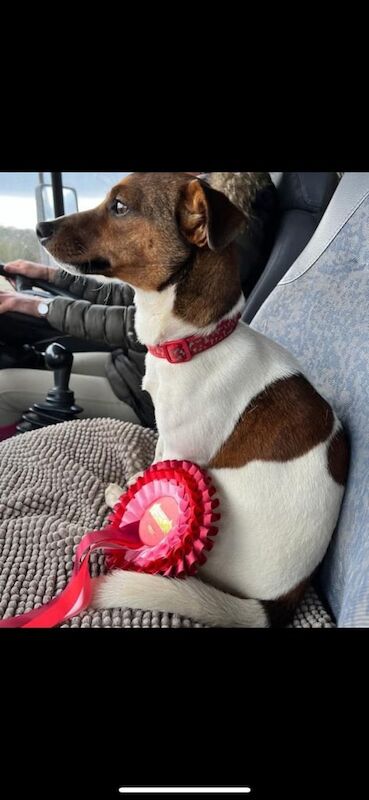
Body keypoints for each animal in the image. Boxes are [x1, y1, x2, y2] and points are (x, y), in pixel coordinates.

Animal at [36, 172, 348, 628]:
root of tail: (276, 602)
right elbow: (152, 464)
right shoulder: (166, 433)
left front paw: (125, 509)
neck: (197, 344)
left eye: (119, 207)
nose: (39, 228)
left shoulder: (183, 452)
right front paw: (132, 486)